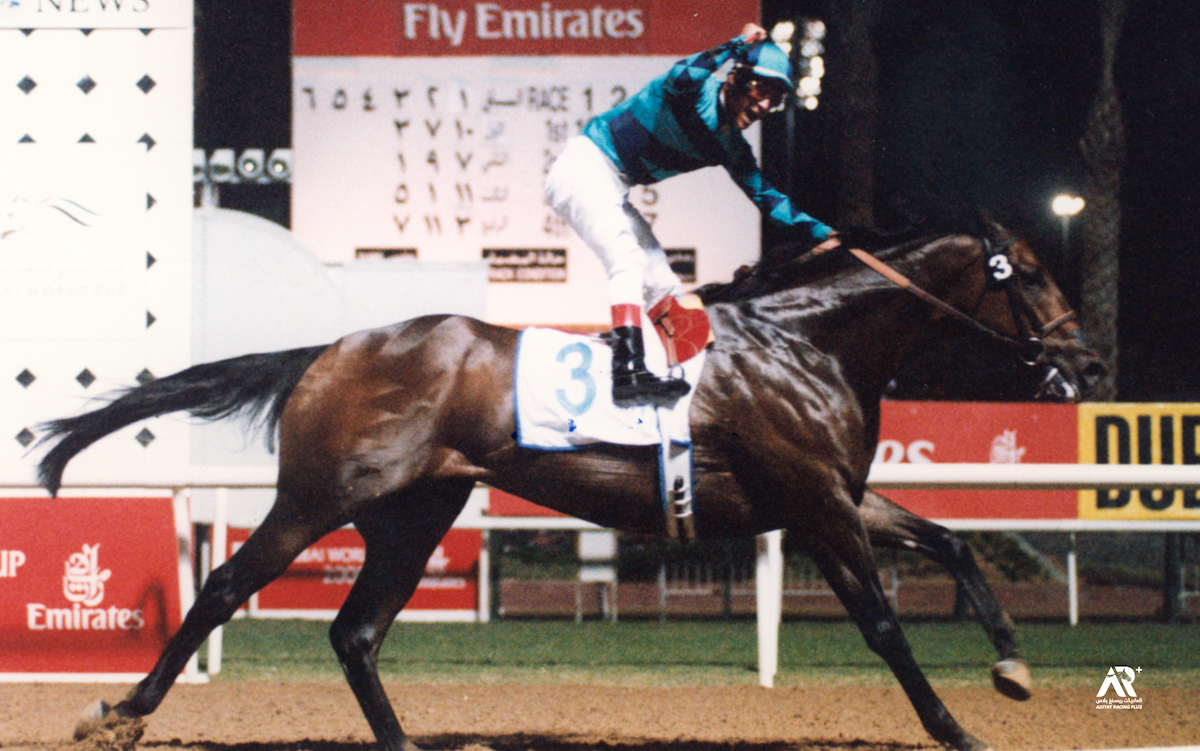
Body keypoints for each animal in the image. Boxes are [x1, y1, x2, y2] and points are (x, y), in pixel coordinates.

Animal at [42, 214, 1099, 748]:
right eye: (1028, 271)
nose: (1085, 364)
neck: (810, 341)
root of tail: (329, 350)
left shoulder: (840, 492)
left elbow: (954, 541)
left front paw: (1011, 666)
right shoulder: (814, 501)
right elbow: (882, 624)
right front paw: (955, 726)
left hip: (415, 513)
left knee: (357, 631)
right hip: (318, 499)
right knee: (224, 586)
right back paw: (121, 710)